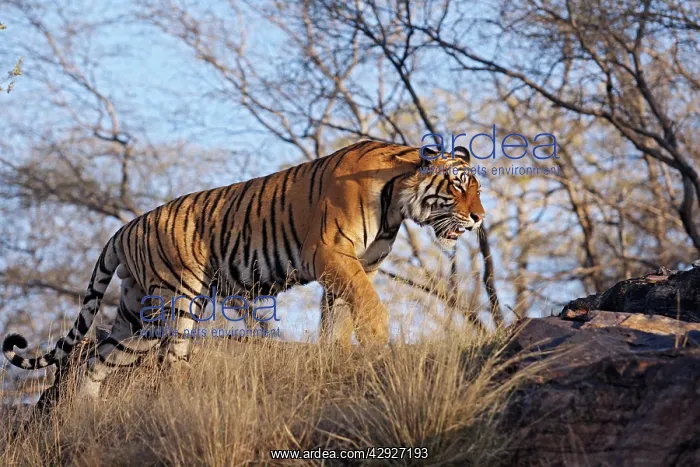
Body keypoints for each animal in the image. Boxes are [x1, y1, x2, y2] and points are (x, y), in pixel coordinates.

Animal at [2, 140, 485, 398]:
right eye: (459, 186)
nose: (480, 218)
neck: (396, 200)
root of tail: (126, 227)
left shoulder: (349, 269)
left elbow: (337, 322)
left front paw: (339, 359)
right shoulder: (330, 255)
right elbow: (368, 305)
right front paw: (376, 341)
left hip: (138, 314)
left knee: (98, 359)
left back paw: (88, 408)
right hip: (179, 299)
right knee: (170, 358)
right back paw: (185, 398)